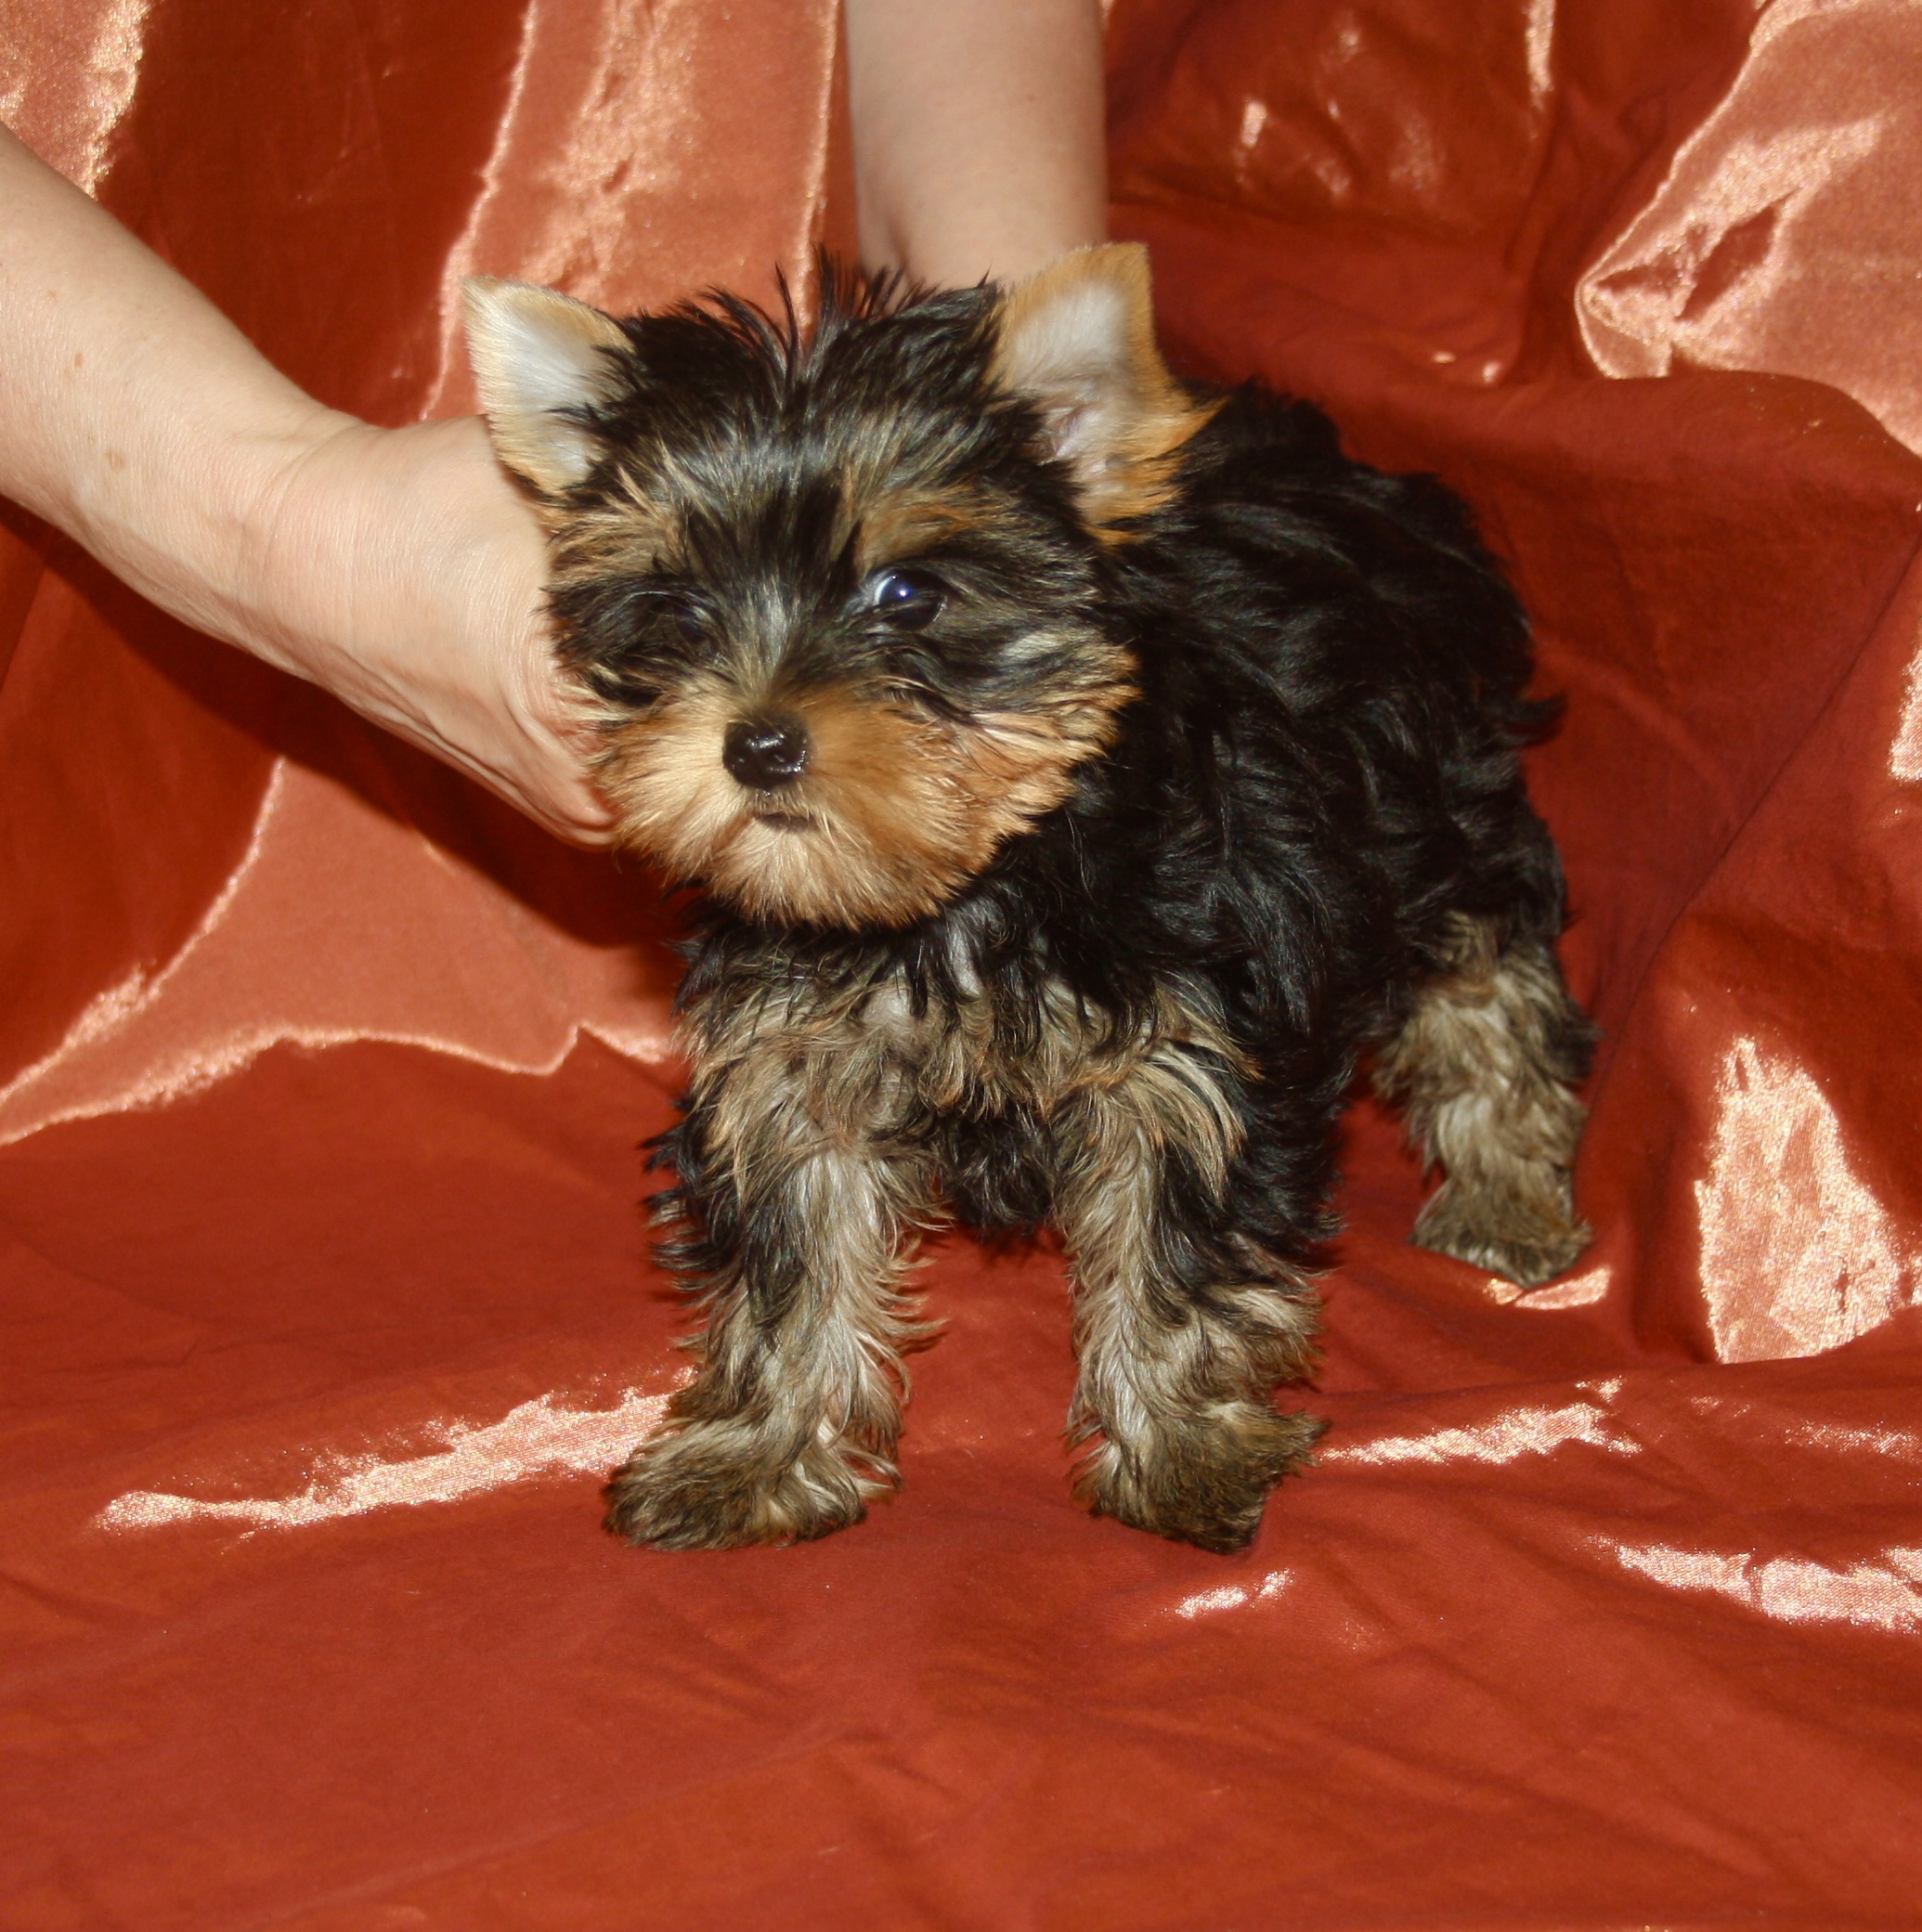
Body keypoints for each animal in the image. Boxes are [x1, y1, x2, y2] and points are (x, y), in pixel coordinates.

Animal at [462, 245, 1594, 1555]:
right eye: (682, 610)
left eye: (909, 595)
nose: (757, 744)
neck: (966, 890)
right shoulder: (788, 1061)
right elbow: (794, 1256)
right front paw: (756, 1455)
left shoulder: (1187, 1052)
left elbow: (1173, 1250)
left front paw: (1182, 1452)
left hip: (1445, 799)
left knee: (1487, 976)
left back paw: (1508, 1194)